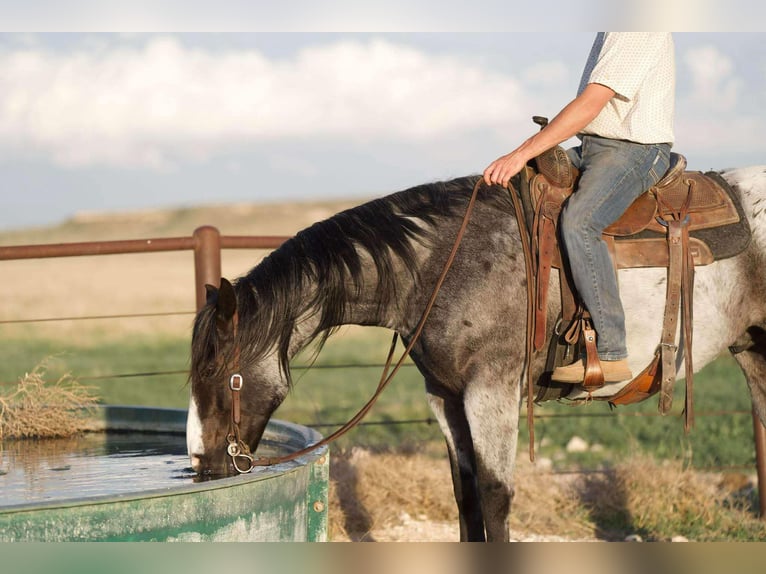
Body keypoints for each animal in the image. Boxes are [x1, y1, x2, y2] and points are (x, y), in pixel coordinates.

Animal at [186, 164, 766, 544]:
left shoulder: (492, 391)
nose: (202, 467)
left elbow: (494, 494)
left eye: (217, 370)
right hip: (754, 355)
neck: (439, 265)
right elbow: (465, 494)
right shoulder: (444, 396)